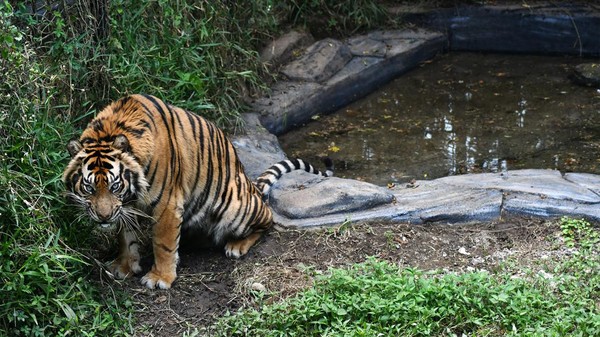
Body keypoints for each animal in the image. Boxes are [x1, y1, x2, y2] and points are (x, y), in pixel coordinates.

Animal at [63, 93, 336, 288]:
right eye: (89, 187)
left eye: (115, 186)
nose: (103, 217)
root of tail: (252, 187)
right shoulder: (125, 208)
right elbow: (124, 237)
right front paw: (125, 266)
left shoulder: (166, 204)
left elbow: (162, 243)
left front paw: (160, 278)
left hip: (235, 208)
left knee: (267, 220)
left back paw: (236, 246)